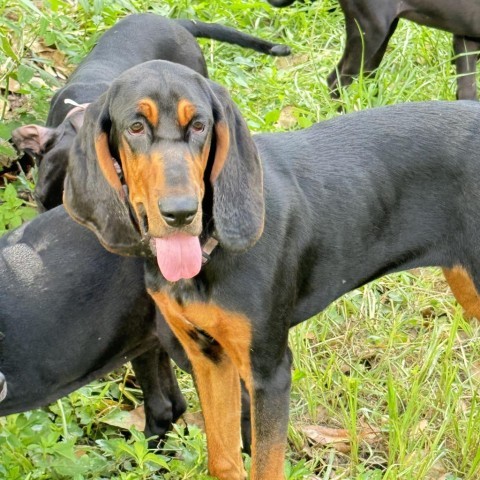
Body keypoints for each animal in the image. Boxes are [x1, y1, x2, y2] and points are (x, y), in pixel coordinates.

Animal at [64, 59, 480, 476]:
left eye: (198, 125)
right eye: (135, 127)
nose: (181, 213)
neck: (210, 252)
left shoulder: (269, 373)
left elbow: (265, 467)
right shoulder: (208, 357)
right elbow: (224, 460)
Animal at [268, 0, 480, 100]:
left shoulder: (465, 38)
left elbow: (466, 90)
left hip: (381, 32)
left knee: (367, 76)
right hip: (370, 31)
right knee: (336, 81)